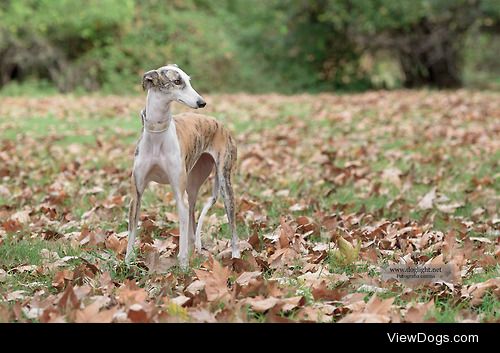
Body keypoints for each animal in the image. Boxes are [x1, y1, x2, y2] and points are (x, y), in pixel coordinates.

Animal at [126, 64, 241, 266]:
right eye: (177, 81)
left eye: (188, 80)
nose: (202, 102)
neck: (157, 134)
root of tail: (219, 124)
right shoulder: (137, 192)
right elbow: (132, 232)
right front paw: (126, 262)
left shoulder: (179, 194)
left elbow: (182, 229)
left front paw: (183, 266)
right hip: (192, 186)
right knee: (192, 223)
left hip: (224, 183)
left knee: (232, 227)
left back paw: (235, 258)